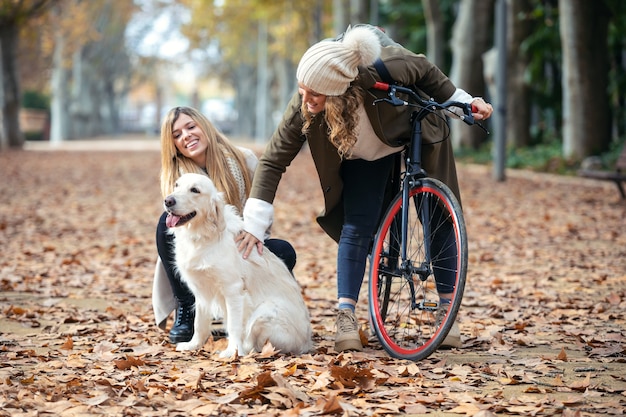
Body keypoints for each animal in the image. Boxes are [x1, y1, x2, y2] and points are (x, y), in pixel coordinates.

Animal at [163, 172, 312, 358]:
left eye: (195, 190)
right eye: (176, 185)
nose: (168, 201)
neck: (203, 236)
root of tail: (307, 344)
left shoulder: (233, 290)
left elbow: (234, 326)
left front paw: (232, 351)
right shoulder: (201, 290)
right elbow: (199, 323)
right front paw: (193, 345)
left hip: (265, 311)